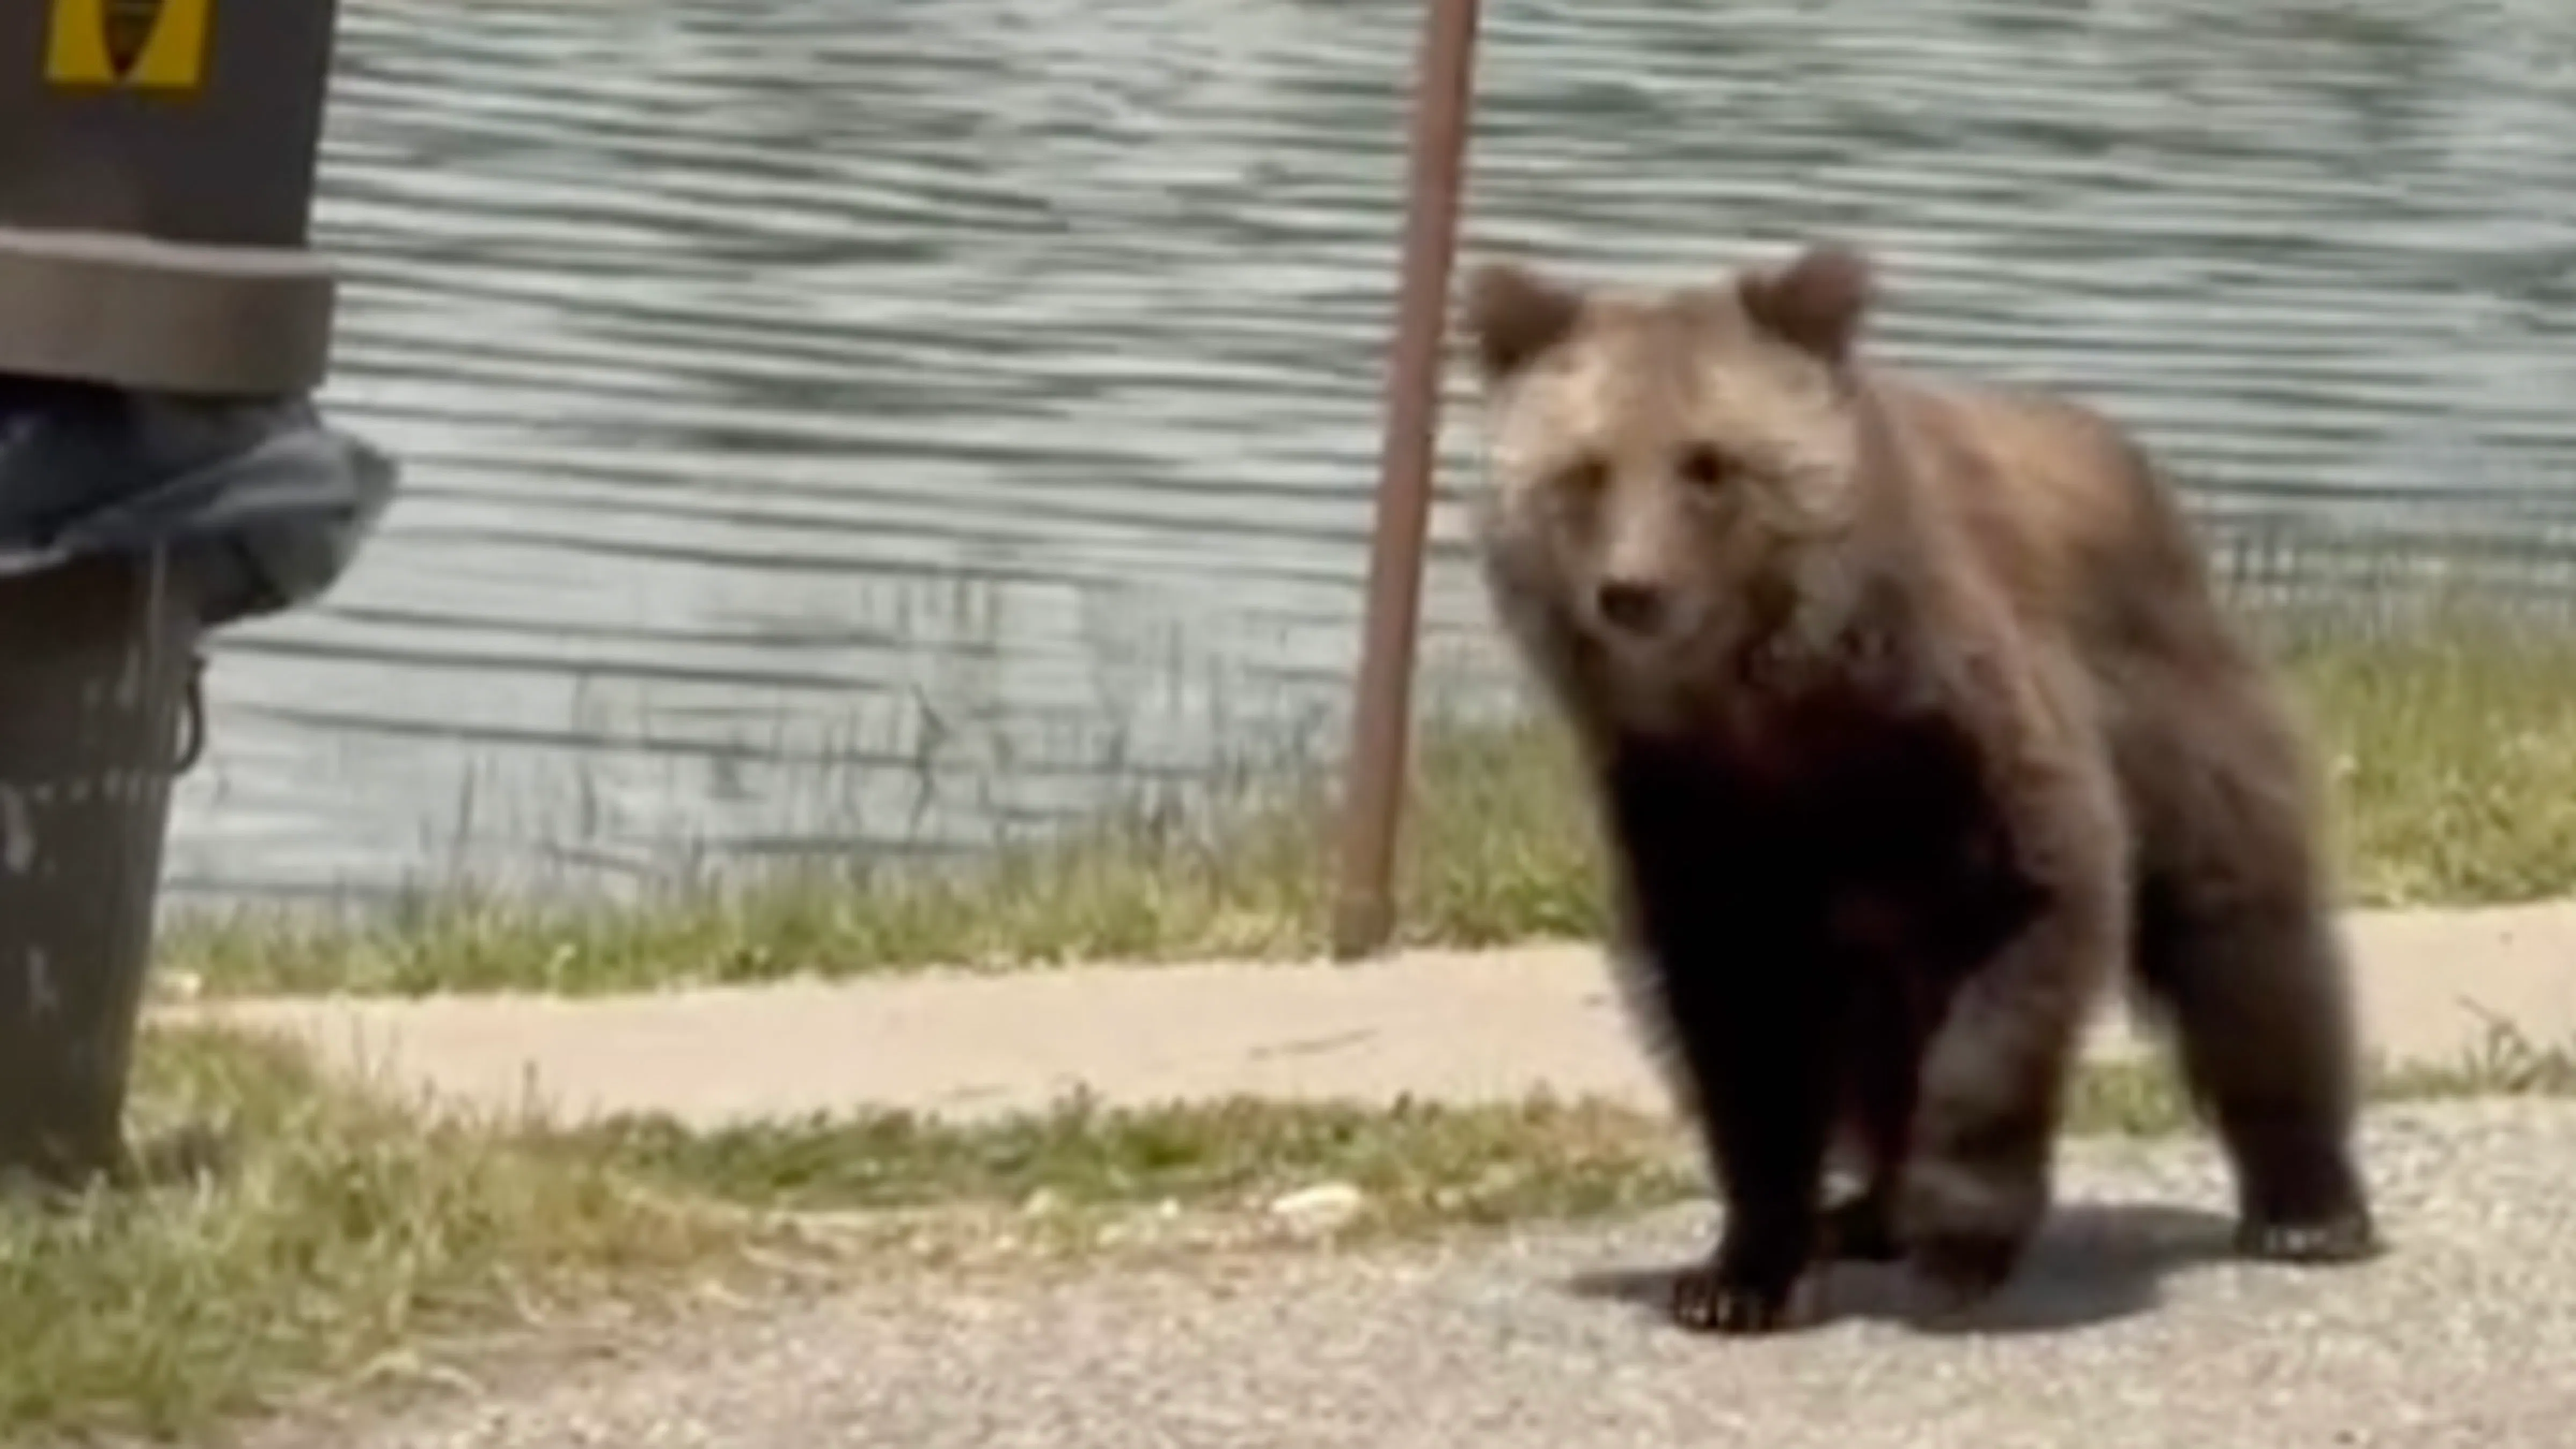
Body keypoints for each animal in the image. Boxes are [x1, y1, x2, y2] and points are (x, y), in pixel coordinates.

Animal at [1454, 240, 2380, 1335]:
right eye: (1585, 471)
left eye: (1709, 464)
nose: (1632, 592)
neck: (1782, 712)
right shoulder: (1694, 811)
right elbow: (1740, 1031)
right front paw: (1736, 1275)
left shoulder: (1965, 746)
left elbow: (2029, 939)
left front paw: (1962, 1240)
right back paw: (1865, 1212)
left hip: (2178, 706)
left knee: (2245, 943)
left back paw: (2307, 1208)